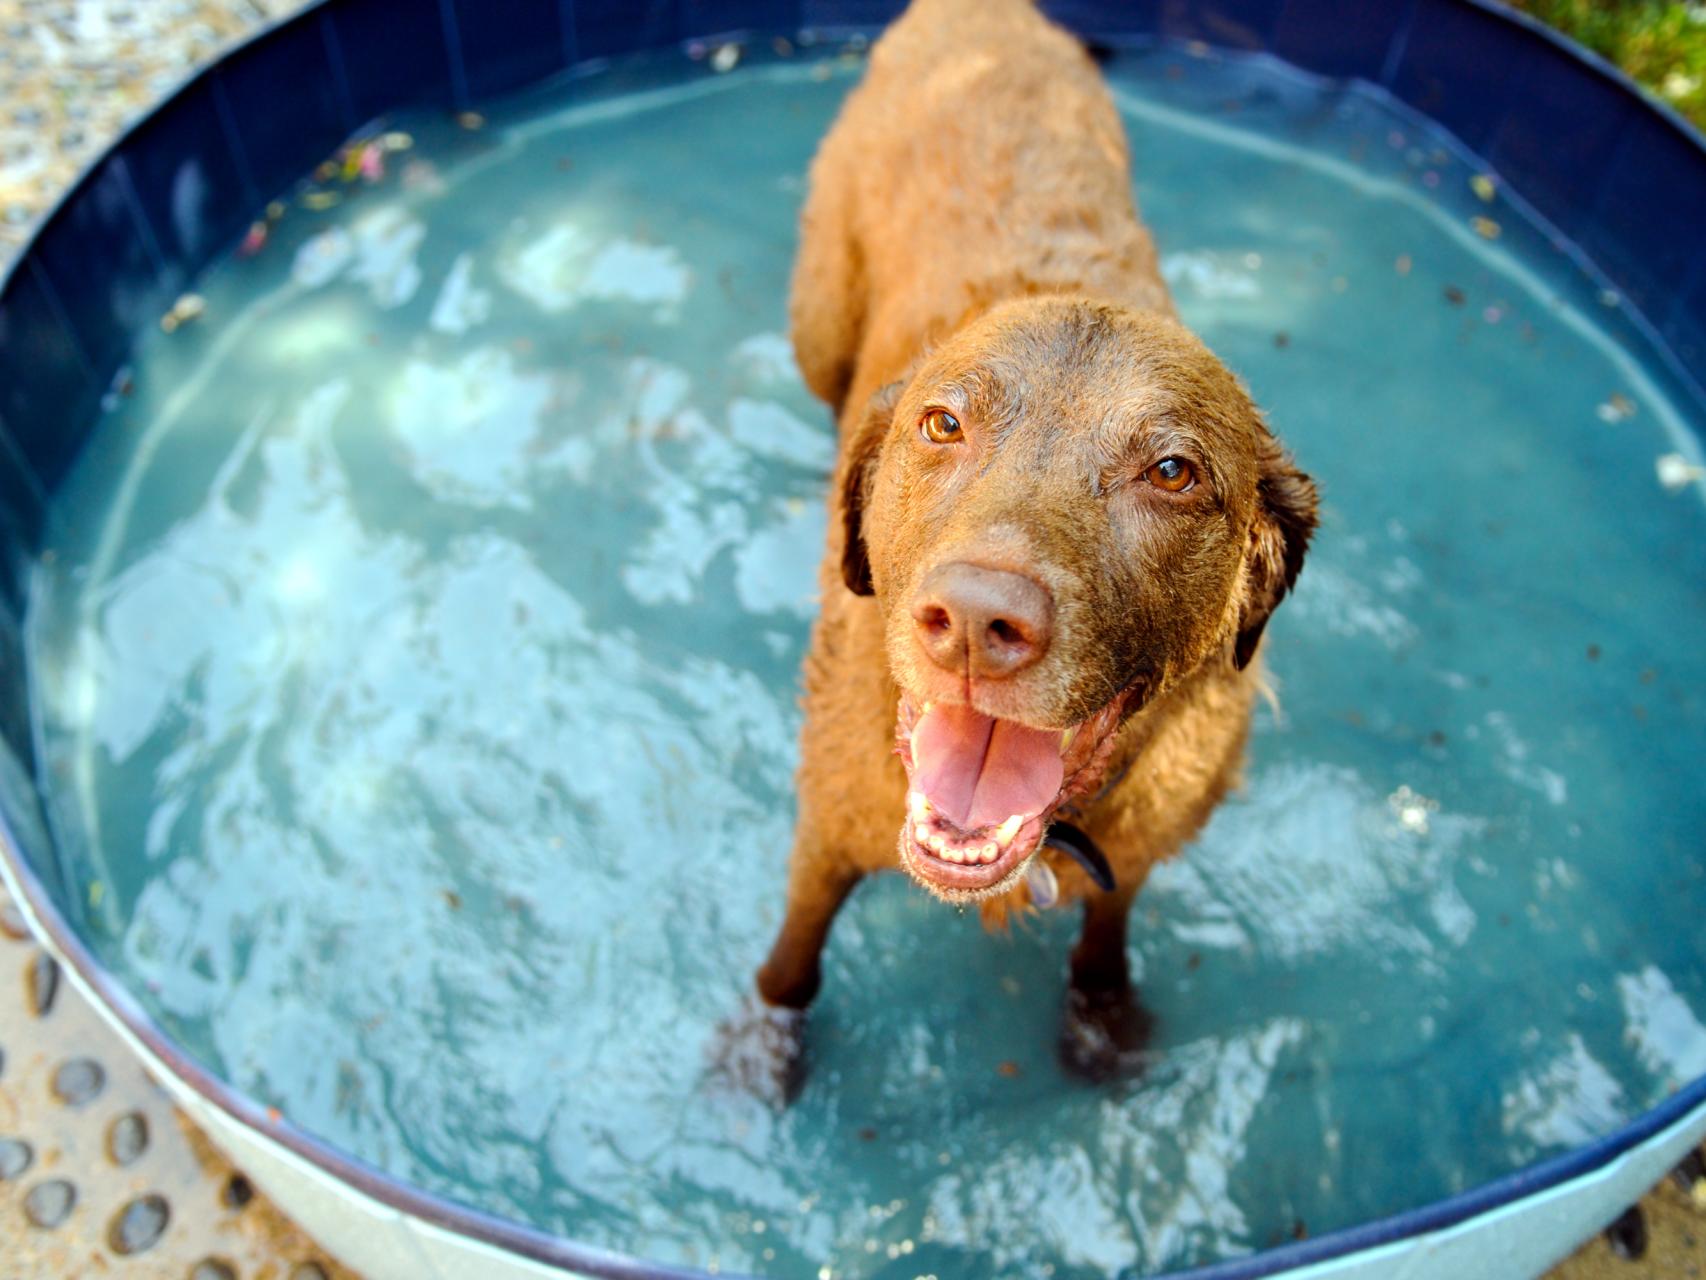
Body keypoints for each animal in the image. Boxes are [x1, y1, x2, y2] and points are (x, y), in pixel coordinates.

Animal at [757, 0, 1317, 1085]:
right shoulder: (826, 824)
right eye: (941, 423)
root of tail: (979, 13)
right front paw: (762, 1053)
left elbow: (1106, 932)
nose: (977, 621)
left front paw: (1102, 1015)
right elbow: (791, 964)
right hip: (817, 322)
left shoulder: (1139, 847)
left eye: (1172, 472)